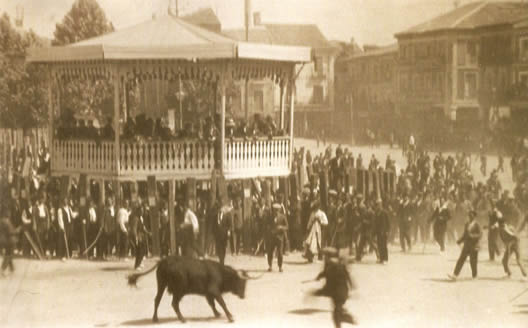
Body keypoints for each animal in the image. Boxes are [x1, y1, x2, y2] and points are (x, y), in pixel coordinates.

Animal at [128, 256, 260, 322]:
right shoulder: (213, 291)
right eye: (241, 282)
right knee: (174, 303)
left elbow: (212, 304)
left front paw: (218, 314)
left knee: (157, 300)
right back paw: (182, 319)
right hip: (179, 290)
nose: (243, 296)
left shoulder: (208, 294)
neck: (221, 273)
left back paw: (155, 319)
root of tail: (164, 261)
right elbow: (222, 303)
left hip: (162, 285)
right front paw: (230, 317)